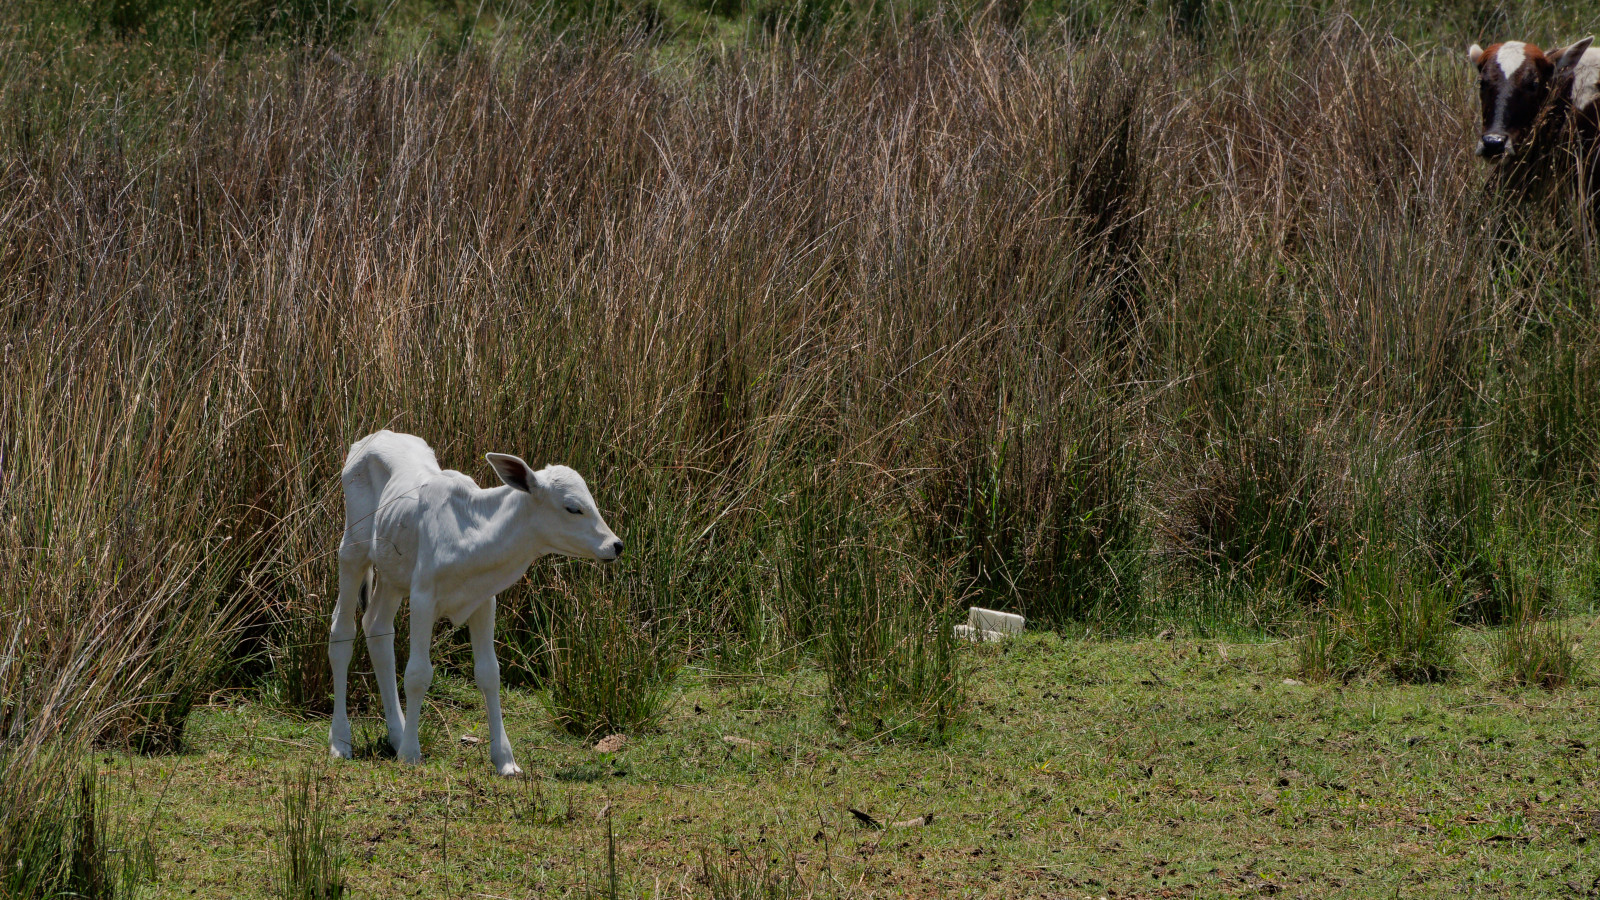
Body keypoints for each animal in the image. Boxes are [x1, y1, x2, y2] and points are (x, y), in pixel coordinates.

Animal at [328, 430, 624, 776]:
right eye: (573, 508)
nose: (615, 545)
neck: (471, 535)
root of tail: (376, 436)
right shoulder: (423, 597)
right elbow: (417, 674)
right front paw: (411, 754)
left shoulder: (484, 601)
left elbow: (489, 674)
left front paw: (505, 760)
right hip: (352, 550)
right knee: (342, 633)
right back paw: (341, 742)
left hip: (391, 575)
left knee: (377, 629)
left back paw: (397, 735)